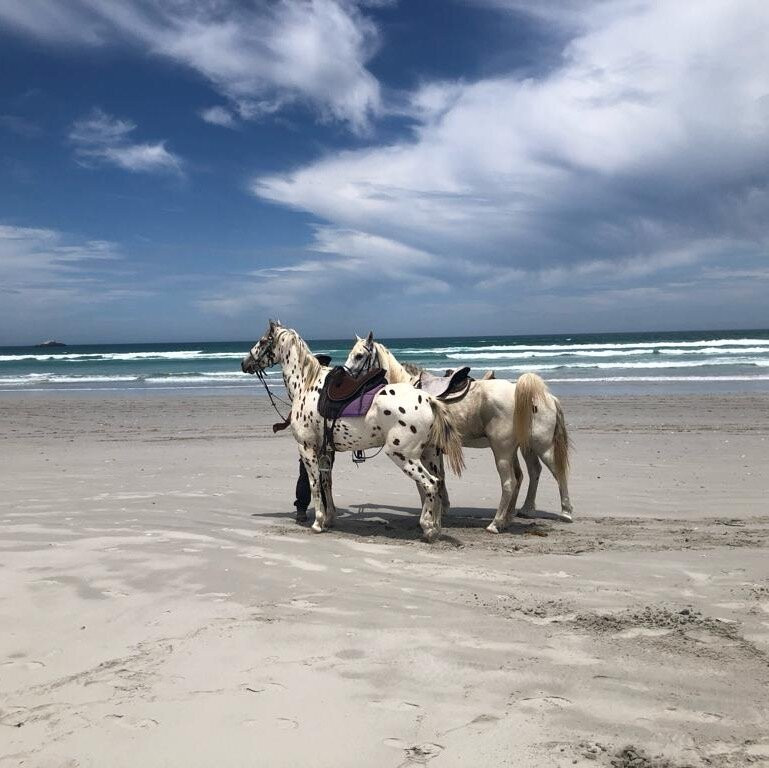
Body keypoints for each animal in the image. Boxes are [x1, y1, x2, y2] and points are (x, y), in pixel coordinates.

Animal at [241, 321, 465, 541]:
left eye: (262, 341)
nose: (244, 363)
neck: (307, 385)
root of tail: (428, 398)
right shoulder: (325, 451)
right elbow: (327, 482)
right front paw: (329, 519)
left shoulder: (306, 448)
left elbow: (315, 485)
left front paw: (318, 522)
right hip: (429, 455)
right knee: (438, 484)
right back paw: (436, 526)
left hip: (402, 455)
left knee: (430, 484)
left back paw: (428, 528)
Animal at [344, 333, 573, 533]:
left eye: (359, 355)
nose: (344, 376)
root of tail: (547, 397)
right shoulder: (434, 450)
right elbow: (439, 477)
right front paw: (440, 510)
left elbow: (427, 481)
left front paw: (433, 514)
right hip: (519, 448)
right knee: (529, 473)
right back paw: (516, 514)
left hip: (525, 447)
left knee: (533, 476)